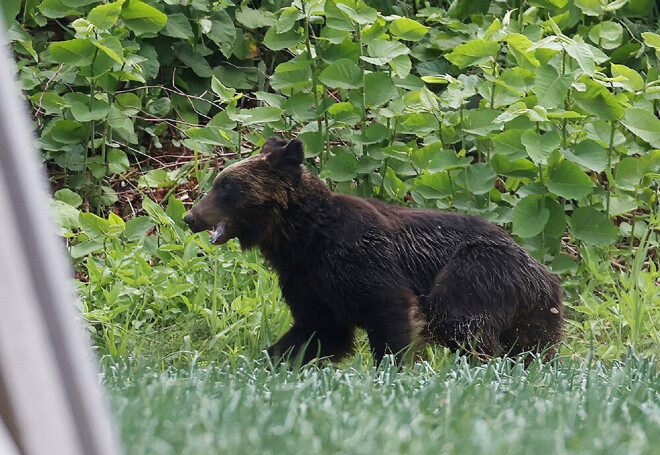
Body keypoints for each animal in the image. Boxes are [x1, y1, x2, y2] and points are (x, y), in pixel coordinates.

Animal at [183, 137, 564, 366]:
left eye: (226, 186)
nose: (190, 217)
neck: (302, 238)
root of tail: (545, 272)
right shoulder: (307, 280)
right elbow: (318, 330)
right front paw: (269, 361)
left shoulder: (359, 258)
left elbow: (389, 310)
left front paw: (390, 370)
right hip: (535, 313)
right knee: (533, 346)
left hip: (478, 270)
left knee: (460, 320)